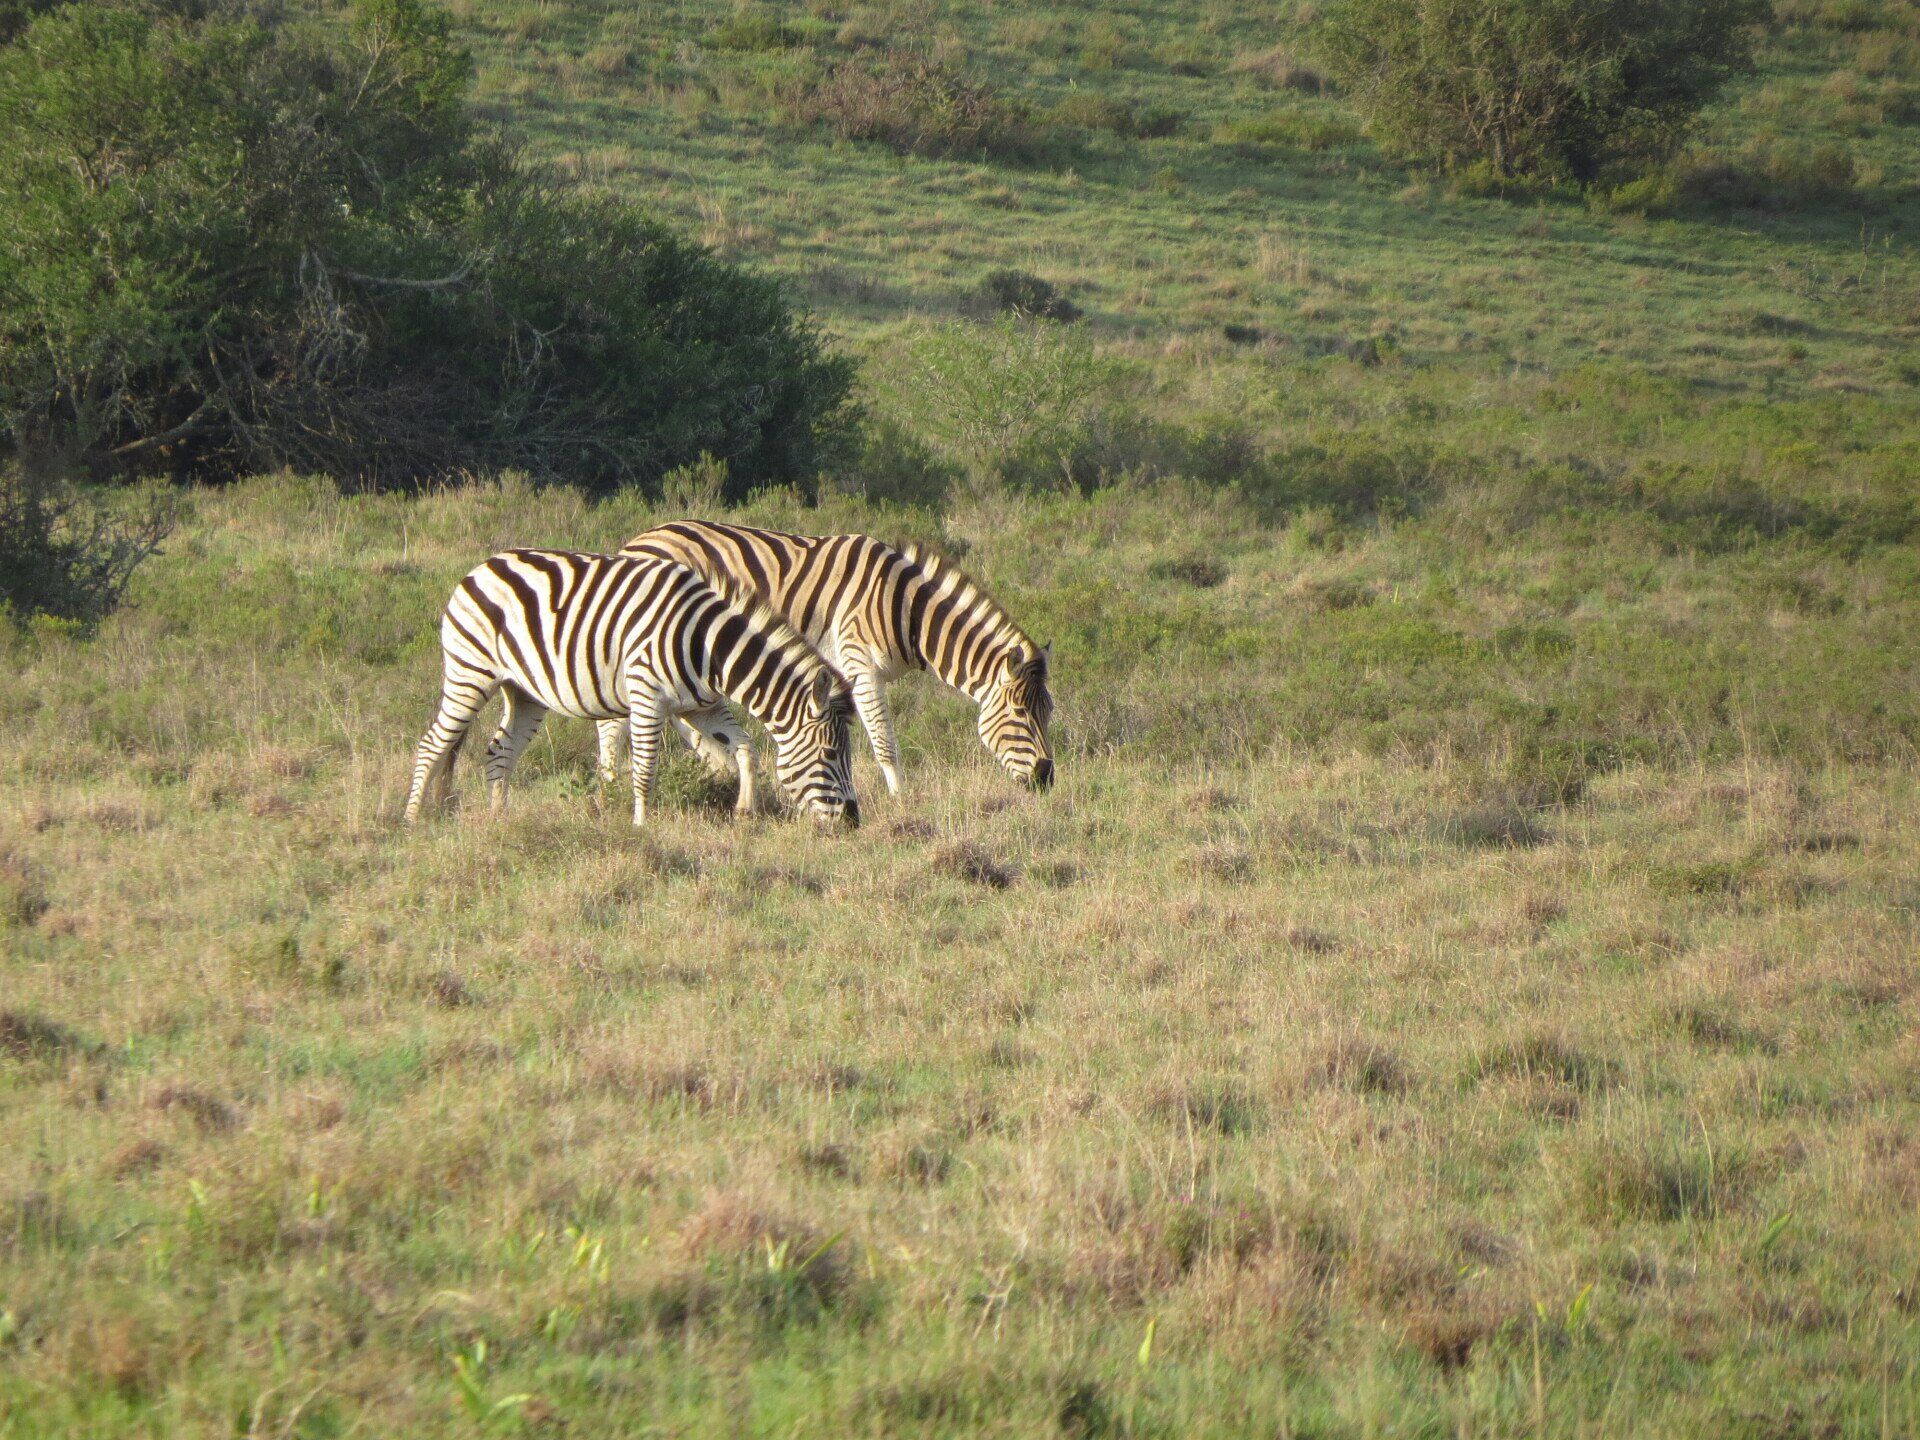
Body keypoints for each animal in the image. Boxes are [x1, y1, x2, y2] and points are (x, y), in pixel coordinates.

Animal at [404, 549, 860, 828]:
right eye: (831, 754)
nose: (854, 822)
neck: (710, 649)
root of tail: (483, 566)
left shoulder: (702, 707)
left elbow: (746, 750)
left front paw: (744, 810)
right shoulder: (647, 697)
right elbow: (644, 769)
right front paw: (642, 825)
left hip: (524, 692)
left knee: (499, 751)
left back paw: (500, 819)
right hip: (470, 672)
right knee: (432, 744)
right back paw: (411, 820)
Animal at [593, 522, 1052, 797]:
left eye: (1047, 712)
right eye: (1019, 713)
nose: (1046, 779)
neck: (907, 610)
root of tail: (635, 541)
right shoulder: (860, 665)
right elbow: (884, 741)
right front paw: (900, 800)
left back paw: (718, 770)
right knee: (614, 723)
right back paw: (611, 788)